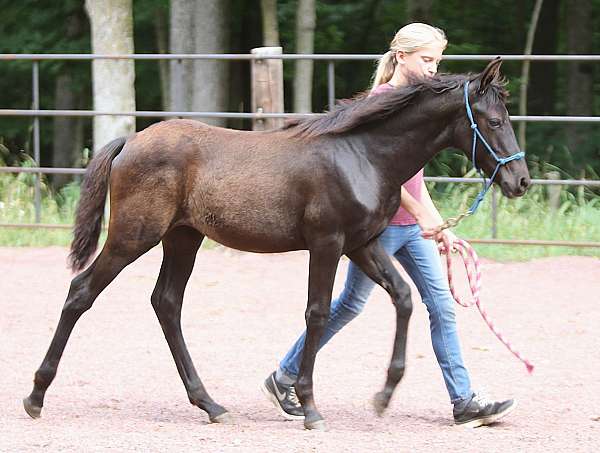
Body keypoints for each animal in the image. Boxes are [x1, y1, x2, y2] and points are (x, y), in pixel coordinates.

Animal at [23, 58, 528, 430]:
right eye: (493, 120)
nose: (520, 181)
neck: (362, 156)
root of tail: (130, 140)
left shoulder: (362, 244)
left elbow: (403, 298)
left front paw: (384, 395)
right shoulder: (327, 243)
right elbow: (317, 313)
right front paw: (309, 407)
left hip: (183, 239)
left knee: (166, 303)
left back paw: (210, 404)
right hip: (134, 235)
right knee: (82, 292)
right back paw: (35, 396)